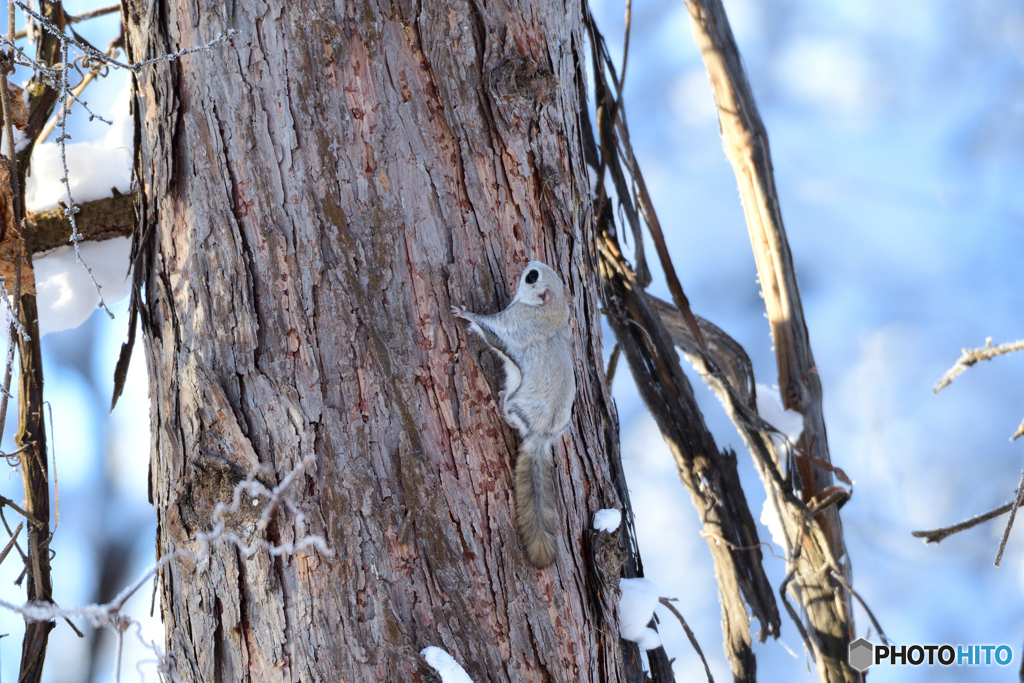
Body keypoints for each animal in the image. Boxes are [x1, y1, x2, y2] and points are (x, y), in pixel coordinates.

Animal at [450, 262, 577, 565]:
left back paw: (499, 403)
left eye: (532, 277)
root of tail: (541, 436)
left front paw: (463, 313)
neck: (551, 313)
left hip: (516, 406)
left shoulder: (512, 323)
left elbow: (488, 330)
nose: (529, 263)